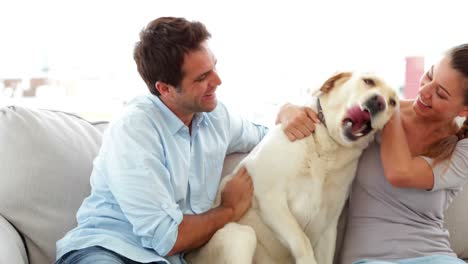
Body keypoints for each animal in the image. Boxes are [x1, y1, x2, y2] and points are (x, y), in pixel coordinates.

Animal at [186, 72, 398, 264]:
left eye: (393, 102)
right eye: (368, 81)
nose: (379, 102)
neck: (328, 148)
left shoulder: (328, 226)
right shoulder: (268, 196)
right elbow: (301, 240)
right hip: (240, 235)